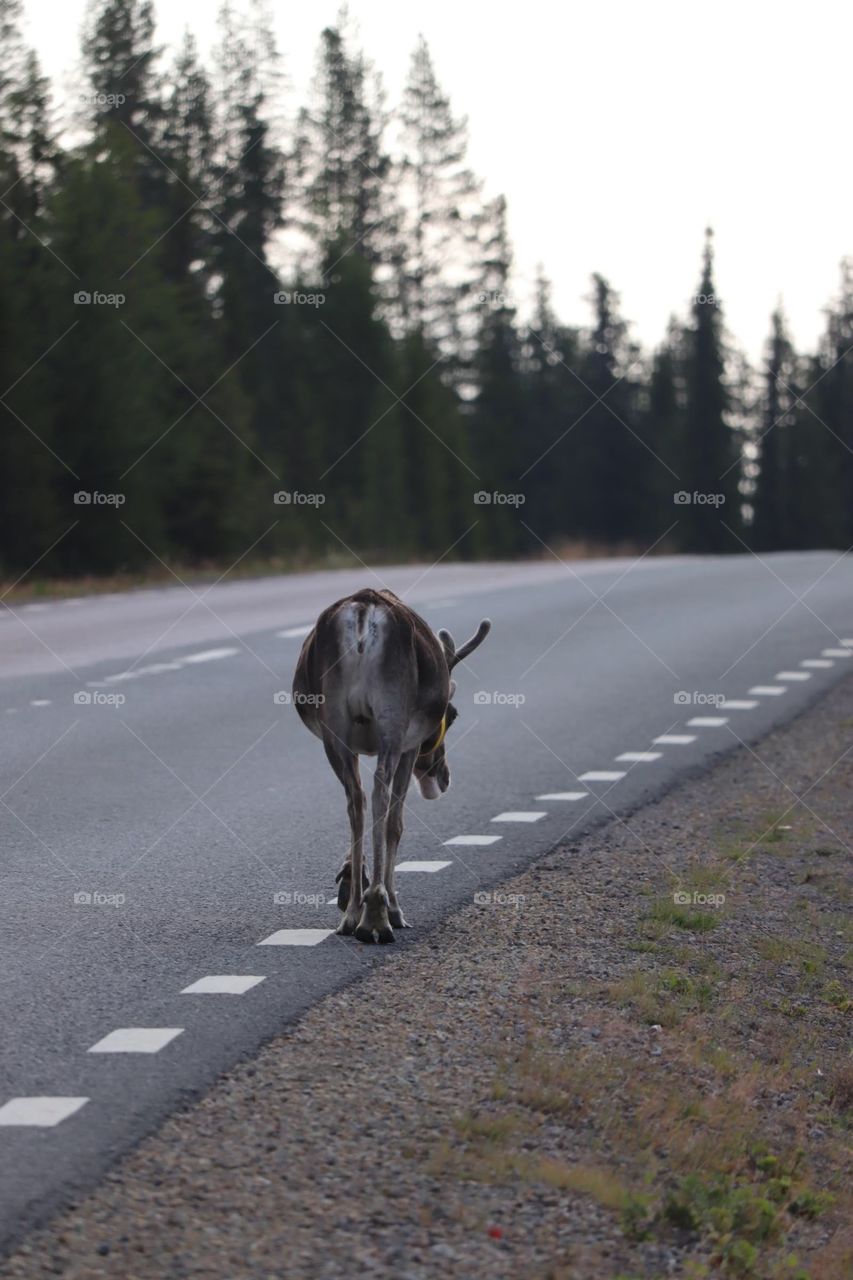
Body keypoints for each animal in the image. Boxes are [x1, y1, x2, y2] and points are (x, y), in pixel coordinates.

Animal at [292, 588, 490, 943]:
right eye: (452, 715)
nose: (444, 778)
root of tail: (363, 611)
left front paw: (349, 880)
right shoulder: (409, 745)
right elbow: (396, 822)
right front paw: (391, 903)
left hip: (335, 725)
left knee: (356, 798)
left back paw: (354, 913)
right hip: (393, 720)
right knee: (381, 795)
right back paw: (378, 910)